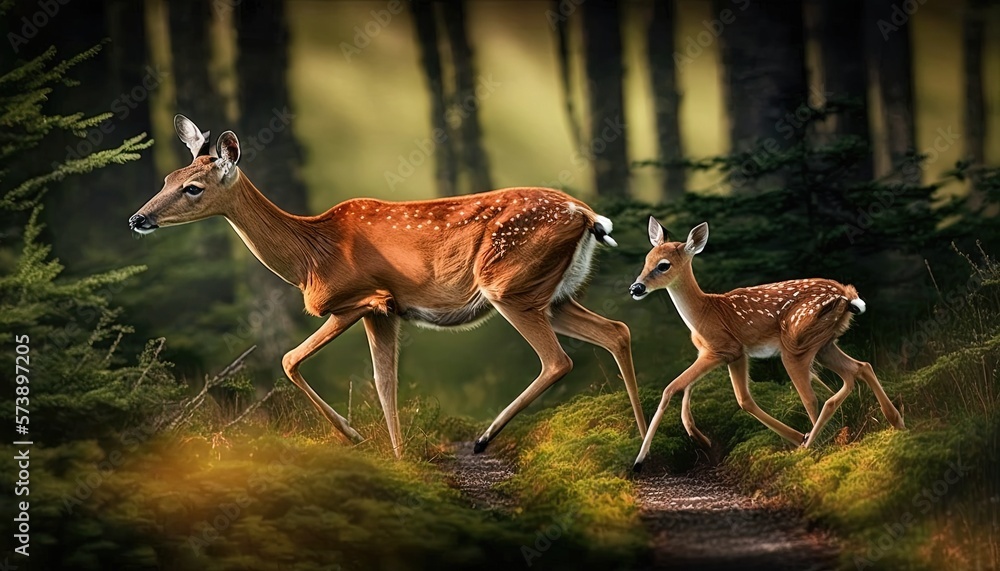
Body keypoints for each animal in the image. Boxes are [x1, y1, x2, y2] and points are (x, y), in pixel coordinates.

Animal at [129, 117, 644, 460]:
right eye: (168, 178)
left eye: (193, 187)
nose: (138, 218)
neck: (310, 255)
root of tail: (587, 215)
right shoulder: (385, 310)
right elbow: (383, 381)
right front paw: (396, 454)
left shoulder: (363, 299)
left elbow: (292, 359)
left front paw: (359, 439)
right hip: (552, 294)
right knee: (617, 330)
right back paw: (641, 447)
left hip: (507, 284)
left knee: (559, 359)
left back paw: (484, 439)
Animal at [628, 219, 904, 470]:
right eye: (646, 260)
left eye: (664, 265)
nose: (635, 288)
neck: (704, 313)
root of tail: (847, 295)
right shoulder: (721, 354)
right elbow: (701, 390)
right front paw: (697, 435)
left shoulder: (727, 349)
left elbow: (677, 389)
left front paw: (639, 460)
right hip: (824, 343)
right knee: (861, 367)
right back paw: (894, 422)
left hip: (795, 345)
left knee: (814, 396)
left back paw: (813, 443)